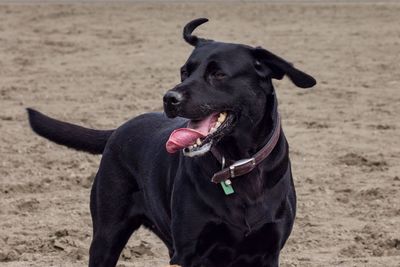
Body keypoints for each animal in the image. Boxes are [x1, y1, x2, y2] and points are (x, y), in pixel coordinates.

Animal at [27, 18, 316, 267]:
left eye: (218, 74)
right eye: (184, 72)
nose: (169, 98)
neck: (237, 164)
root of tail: (119, 129)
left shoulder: (268, 252)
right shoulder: (190, 252)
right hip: (107, 234)